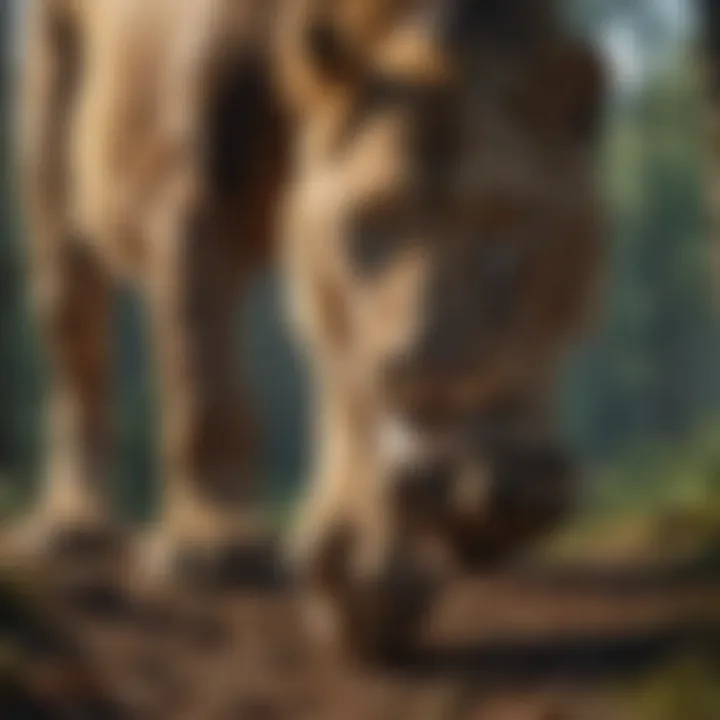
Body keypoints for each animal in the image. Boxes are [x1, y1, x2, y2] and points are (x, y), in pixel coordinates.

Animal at [15, 0, 600, 660]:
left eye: (507, 226)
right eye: (372, 220)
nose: (461, 457)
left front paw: (406, 544)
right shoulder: (192, 188)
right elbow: (208, 388)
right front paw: (221, 546)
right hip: (54, 131)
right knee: (77, 343)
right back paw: (74, 525)